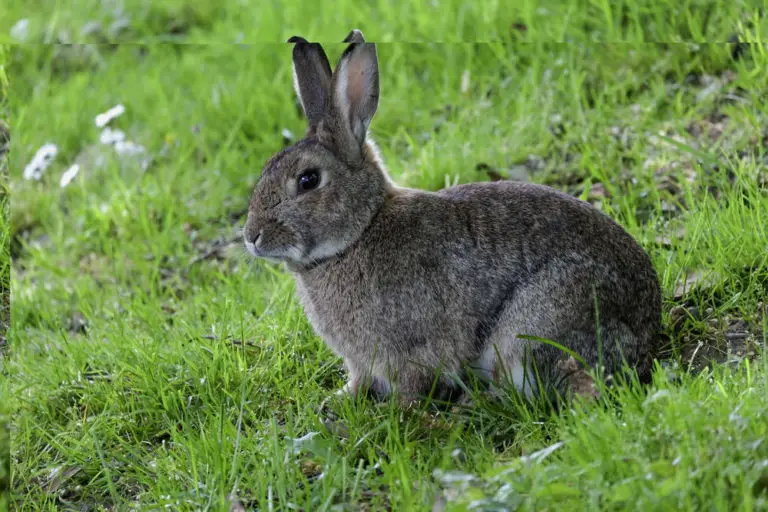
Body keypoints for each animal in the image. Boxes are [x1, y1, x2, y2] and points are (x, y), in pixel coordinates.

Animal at [244, 30, 660, 406]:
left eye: (308, 180)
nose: (251, 236)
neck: (360, 232)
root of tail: (645, 337)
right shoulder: (363, 362)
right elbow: (359, 380)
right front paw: (338, 401)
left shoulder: (412, 350)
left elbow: (413, 386)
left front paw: (396, 413)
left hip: (531, 329)